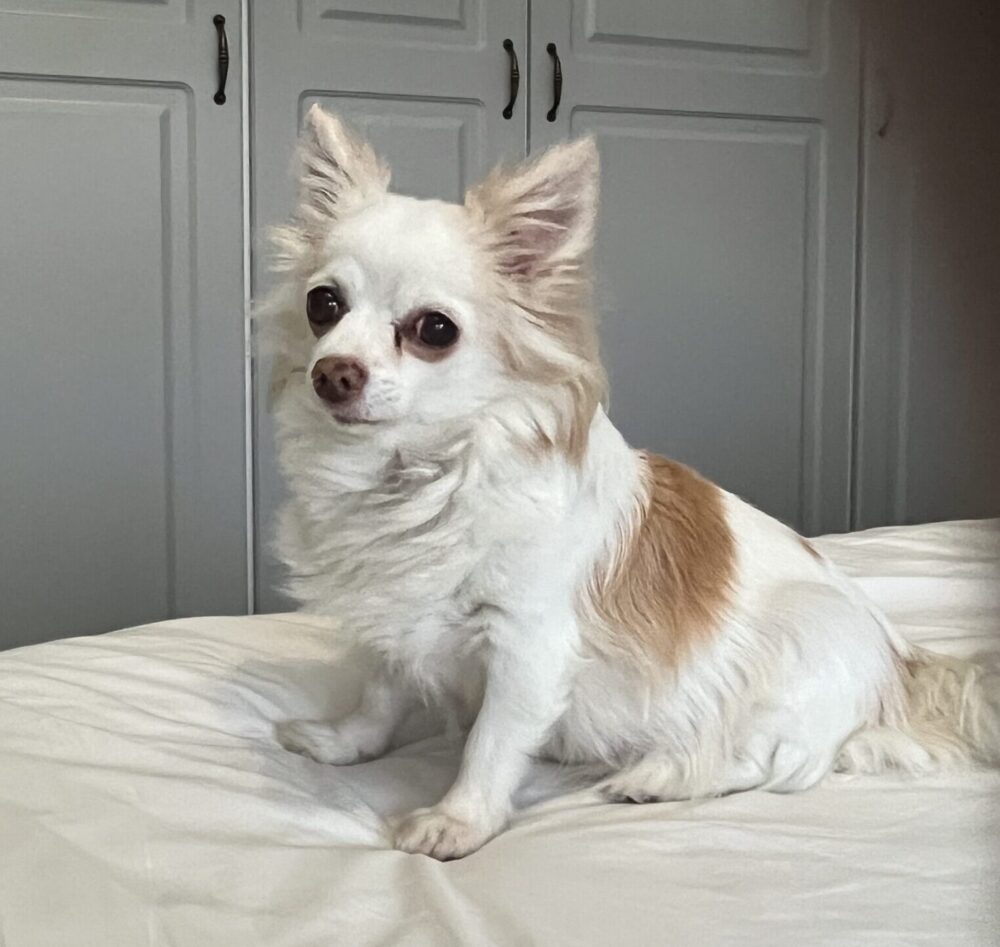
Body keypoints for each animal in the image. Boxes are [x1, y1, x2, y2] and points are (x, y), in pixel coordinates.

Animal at [268, 106, 999, 860]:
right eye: (323, 305)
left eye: (433, 330)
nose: (333, 372)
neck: (415, 474)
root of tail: (903, 665)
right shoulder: (391, 609)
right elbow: (381, 692)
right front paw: (344, 743)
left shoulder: (528, 645)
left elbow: (490, 743)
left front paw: (459, 819)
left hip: (796, 647)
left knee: (767, 760)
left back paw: (661, 775)